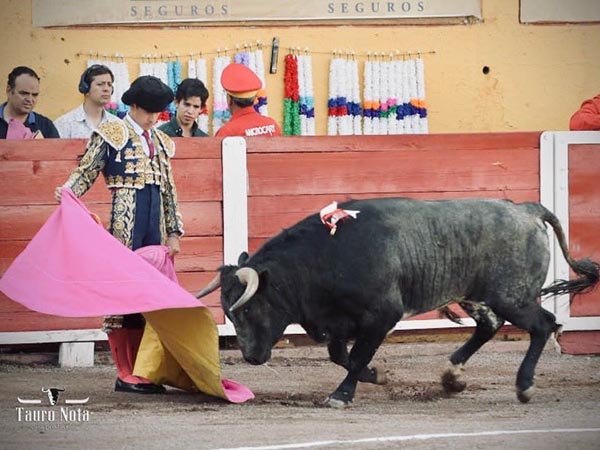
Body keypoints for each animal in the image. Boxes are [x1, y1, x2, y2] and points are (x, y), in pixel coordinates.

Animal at [197, 198, 599, 408]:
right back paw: (452, 378)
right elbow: (341, 355)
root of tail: (526, 210)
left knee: (542, 326)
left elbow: (357, 355)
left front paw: (342, 394)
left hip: (511, 295)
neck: (324, 258)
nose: (251, 357)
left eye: (249, 308)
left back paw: (523, 386)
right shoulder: (339, 322)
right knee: (489, 325)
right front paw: (378, 376)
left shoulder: (382, 316)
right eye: (228, 312)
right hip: (476, 294)